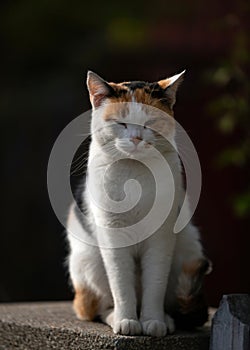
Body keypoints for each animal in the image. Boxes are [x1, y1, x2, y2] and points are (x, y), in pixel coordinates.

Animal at [66, 70, 211, 336]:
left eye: (150, 122)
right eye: (121, 123)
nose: (135, 138)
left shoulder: (161, 238)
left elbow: (155, 283)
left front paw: (153, 321)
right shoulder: (113, 237)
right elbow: (121, 284)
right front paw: (126, 321)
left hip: (187, 250)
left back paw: (166, 319)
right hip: (89, 262)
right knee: (94, 307)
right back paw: (114, 316)